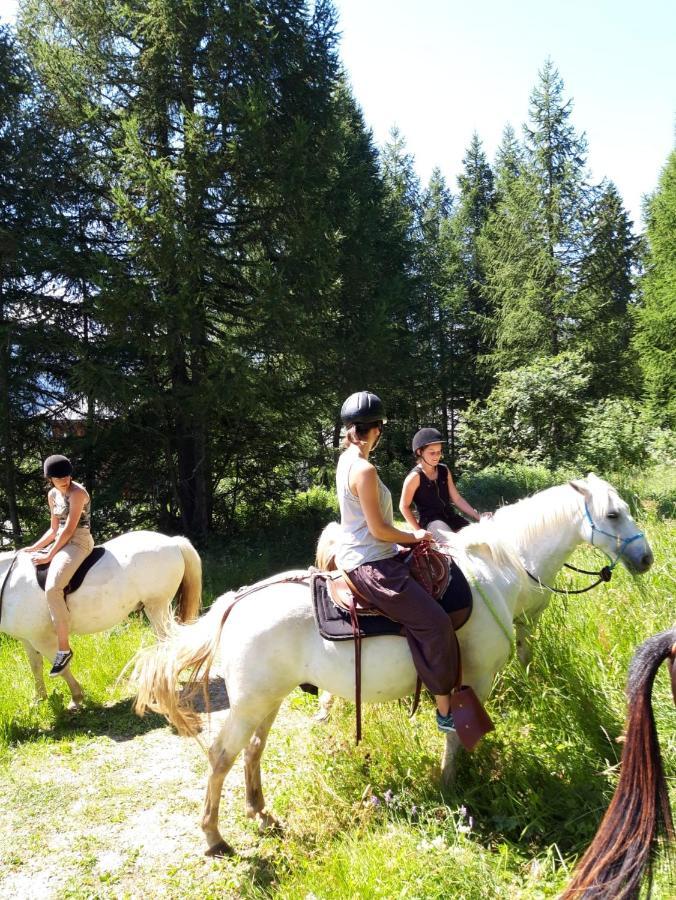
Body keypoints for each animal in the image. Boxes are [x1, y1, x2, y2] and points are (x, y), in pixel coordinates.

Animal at [0, 528, 201, 712]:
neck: (9, 583)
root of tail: (173, 541)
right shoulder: (28, 639)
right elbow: (36, 667)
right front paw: (39, 700)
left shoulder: (42, 639)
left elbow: (62, 668)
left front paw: (76, 698)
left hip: (157, 606)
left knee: (166, 640)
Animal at [132, 474, 656, 856]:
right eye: (613, 513)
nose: (646, 557)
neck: (499, 569)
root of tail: (237, 601)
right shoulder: (475, 677)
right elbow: (457, 732)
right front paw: (451, 785)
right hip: (249, 703)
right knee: (222, 756)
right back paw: (214, 837)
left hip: (268, 699)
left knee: (253, 751)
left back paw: (261, 813)